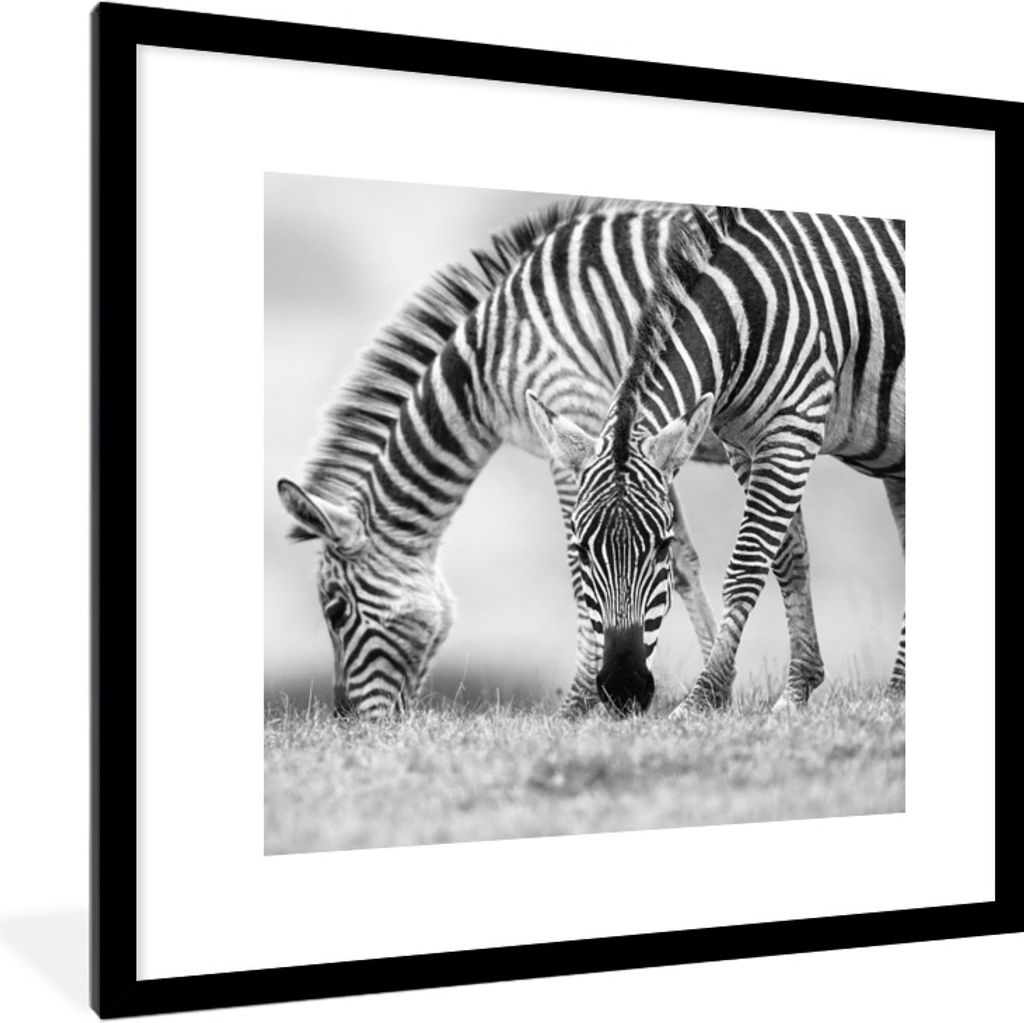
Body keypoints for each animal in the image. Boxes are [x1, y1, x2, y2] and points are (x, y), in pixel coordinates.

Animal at [276, 199, 803, 718]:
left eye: (336, 611)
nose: (347, 720)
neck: (484, 368)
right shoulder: (640, 444)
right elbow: (681, 561)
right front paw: (719, 687)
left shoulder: (578, 415)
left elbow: (581, 564)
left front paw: (578, 705)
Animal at [529, 206, 904, 715]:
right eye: (583, 550)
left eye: (663, 546)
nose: (624, 689)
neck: (745, 314)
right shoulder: (744, 444)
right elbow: (789, 559)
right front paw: (797, 688)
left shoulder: (792, 427)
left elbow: (747, 565)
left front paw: (702, 697)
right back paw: (901, 688)